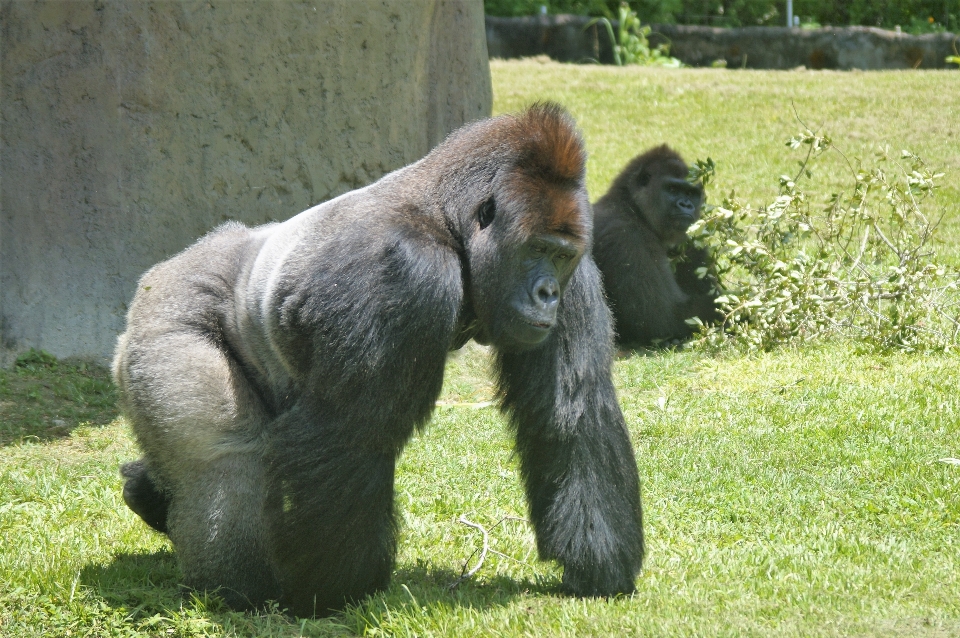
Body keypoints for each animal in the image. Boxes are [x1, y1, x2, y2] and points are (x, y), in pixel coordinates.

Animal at [116, 105, 648, 620]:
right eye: (536, 249)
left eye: (561, 256)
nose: (547, 293)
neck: (446, 220)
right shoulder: (403, 272)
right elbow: (348, 436)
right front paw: (333, 591)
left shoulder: (579, 271)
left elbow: (572, 412)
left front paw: (598, 566)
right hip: (164, 319)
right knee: (226, 459)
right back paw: (238, 587)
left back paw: (149, 494)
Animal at [592, 145, 720, 350]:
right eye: (672, 189)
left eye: (690, 194)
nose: (686, 205)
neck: (632, 207)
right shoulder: (624, 236)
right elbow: (661, 318)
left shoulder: (689, 238)